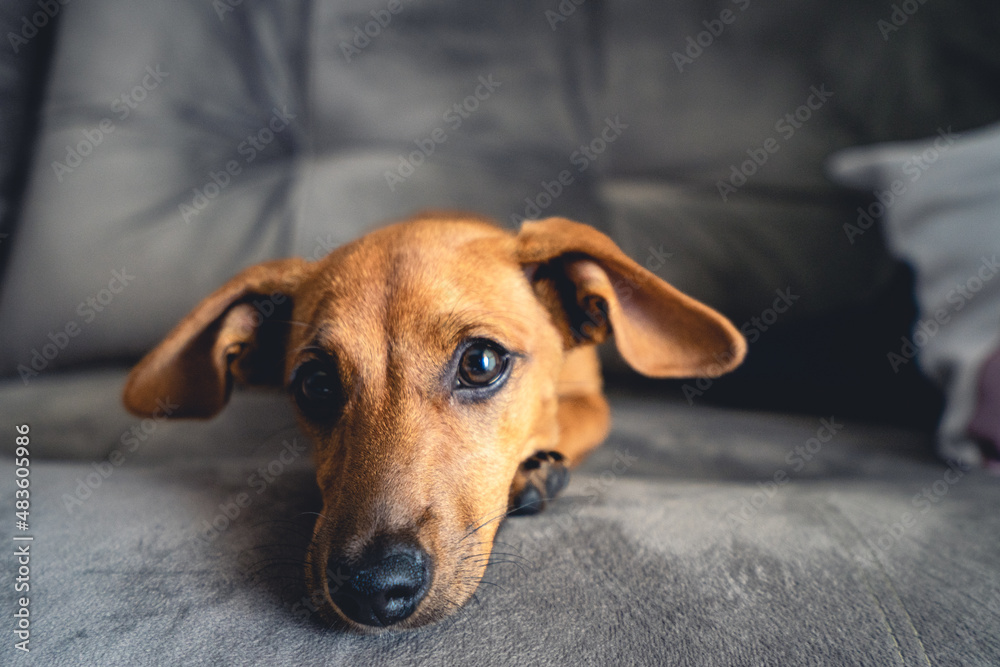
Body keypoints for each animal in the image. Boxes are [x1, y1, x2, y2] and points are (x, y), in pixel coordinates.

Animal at [121, 213, 744, 632]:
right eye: (315, 385)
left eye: (481, 363)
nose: (373, 590)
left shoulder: (590, 399)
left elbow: (564, 419)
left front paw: (535, 469)